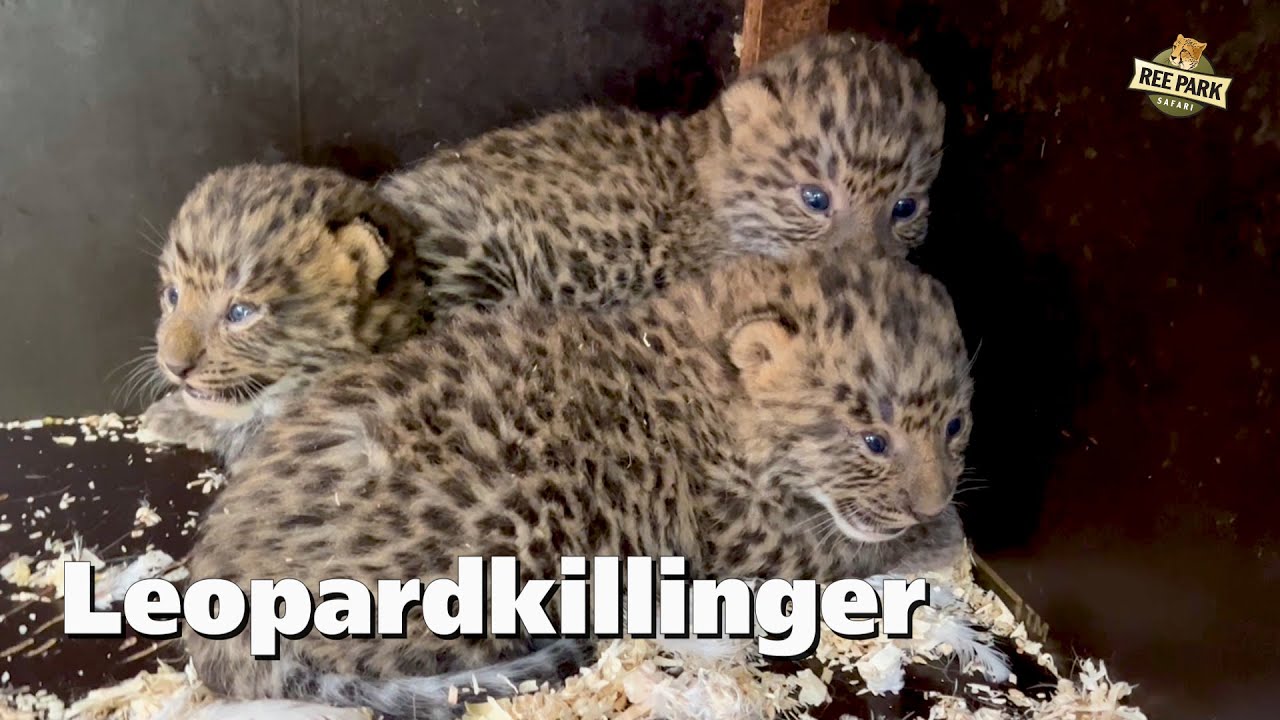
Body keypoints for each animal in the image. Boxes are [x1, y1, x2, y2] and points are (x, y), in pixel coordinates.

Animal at [184, 250, 973, 719]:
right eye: (873, 441)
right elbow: (858, 547)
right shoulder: (753, 545)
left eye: (958, 426)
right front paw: (941, 535)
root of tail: (213, 593)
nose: (933, 500)